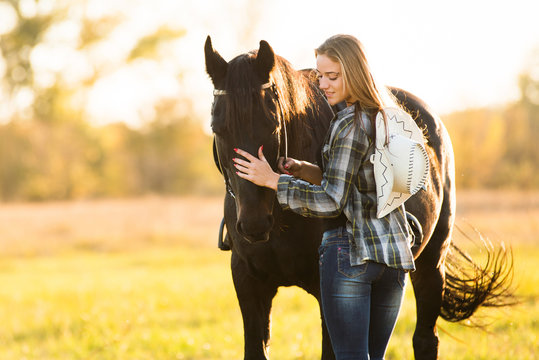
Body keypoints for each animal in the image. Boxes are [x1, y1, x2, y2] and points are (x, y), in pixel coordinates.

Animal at [206, 37, 516, 360]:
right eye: (218, 128)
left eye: (273, 125)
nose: (254, 223)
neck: (284, 220)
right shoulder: (249, 285)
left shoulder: (329, 293)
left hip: (432, 264)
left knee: (425, 340)